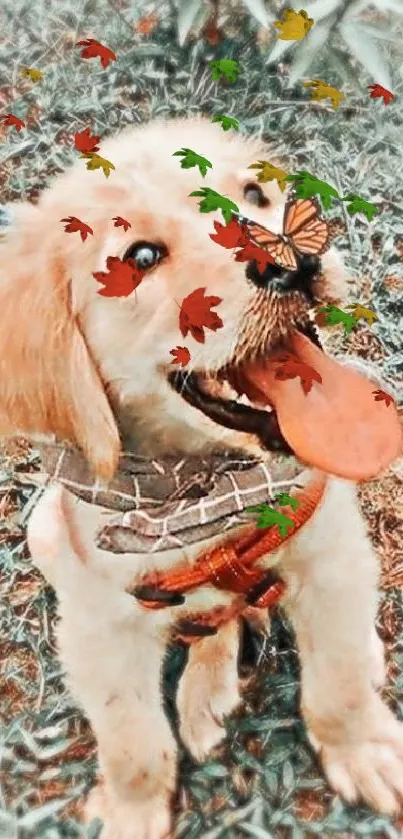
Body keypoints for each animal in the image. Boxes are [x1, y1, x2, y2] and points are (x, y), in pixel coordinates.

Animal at [0, 113, 403, 839]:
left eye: (255, 193)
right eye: (140, 258)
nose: (294, 259)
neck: (204, 491)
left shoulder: (331, 552)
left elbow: (338, 682)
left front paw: (363, 749)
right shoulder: (97, 629)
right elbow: (132, 742)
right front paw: (133, 813)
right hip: (45, 531)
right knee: (215, 621)